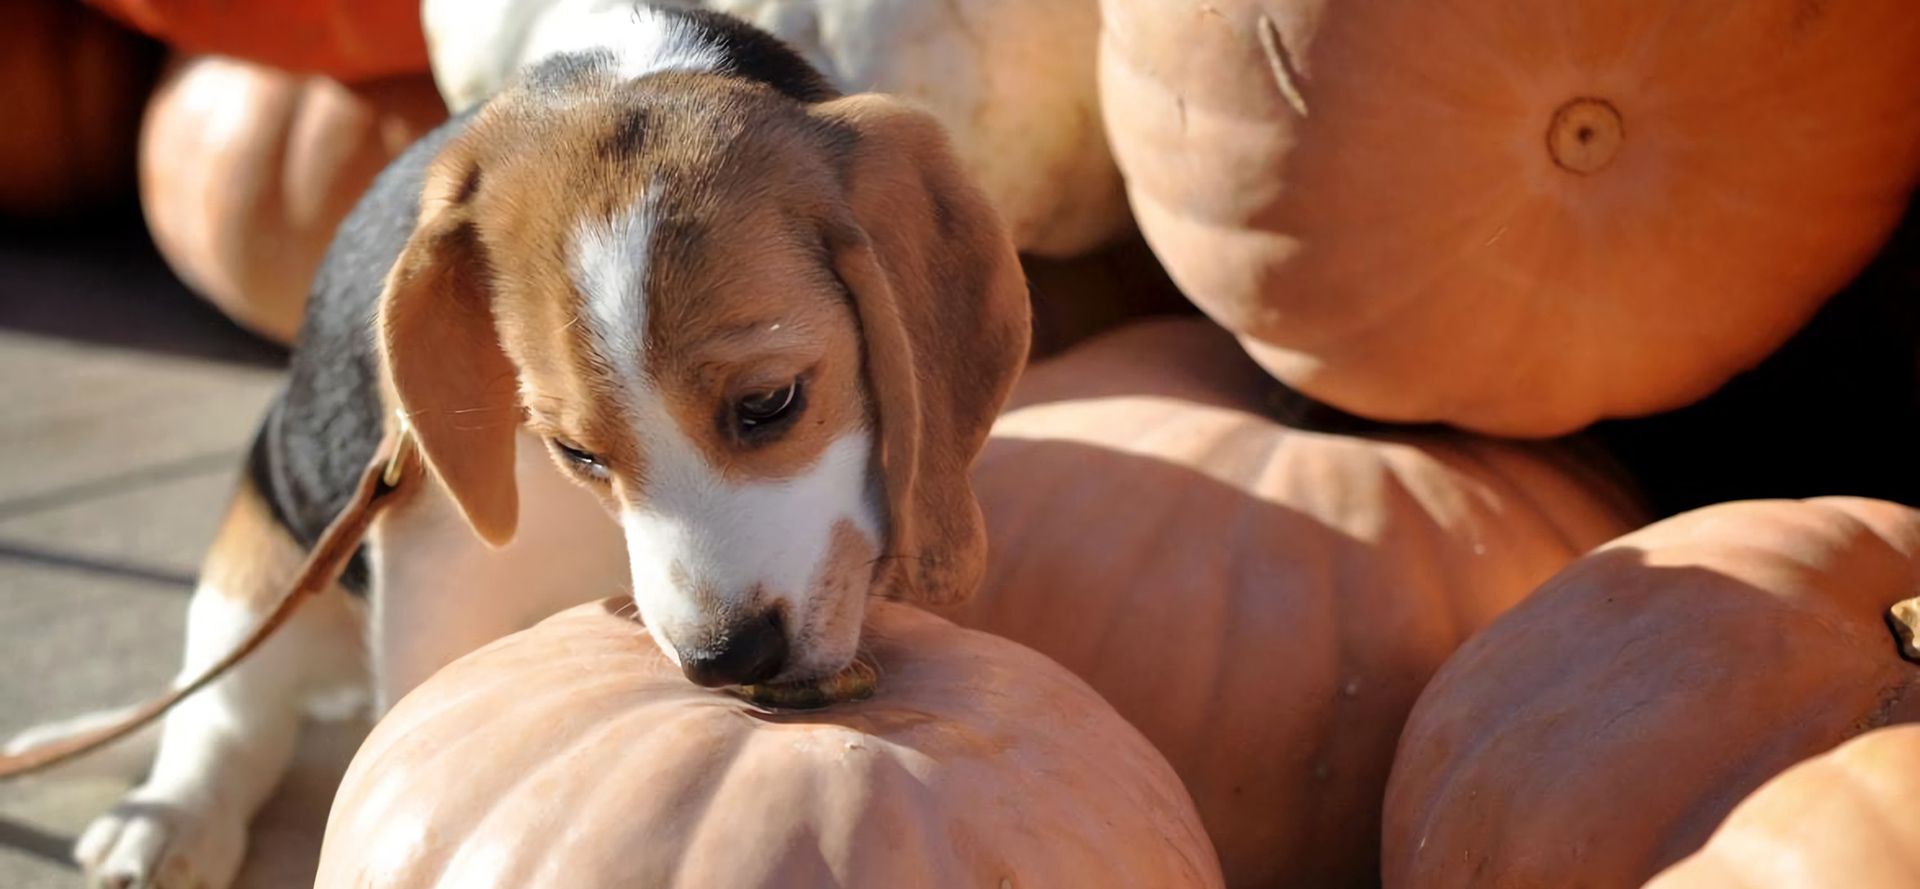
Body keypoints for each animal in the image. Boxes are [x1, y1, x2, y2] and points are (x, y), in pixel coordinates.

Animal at [7, 8, 1029, 889]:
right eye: (576, 454)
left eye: (771, 403)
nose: (724, 659)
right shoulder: (435, 572)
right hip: (261, 554)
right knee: (227, 716)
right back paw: (170, 818)